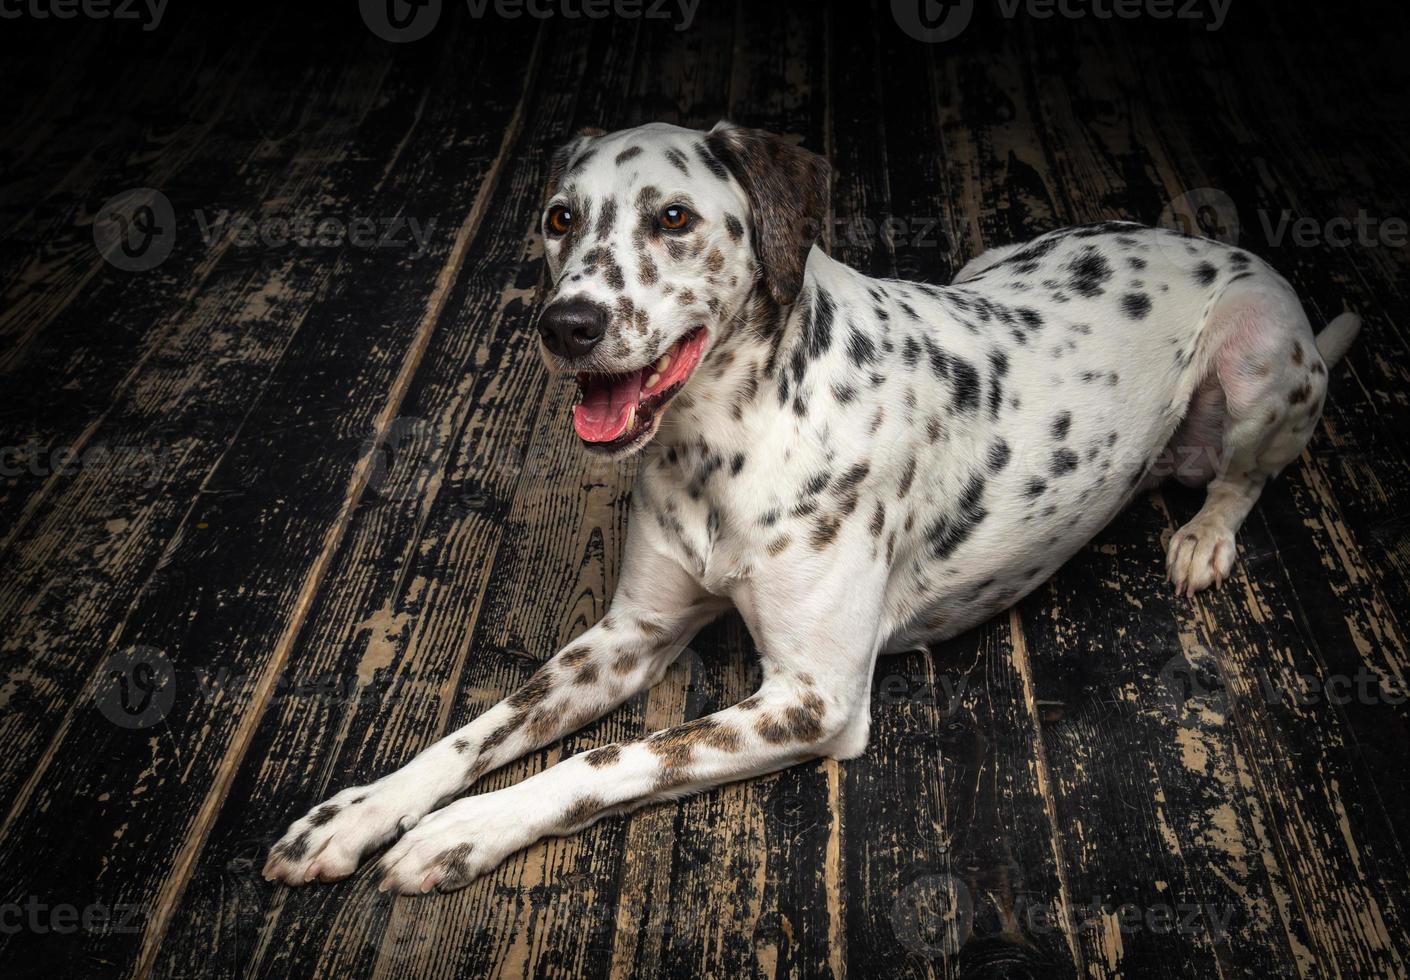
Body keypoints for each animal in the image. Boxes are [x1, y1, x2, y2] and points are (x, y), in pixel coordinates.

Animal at [262, 119, 1353, 891]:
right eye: (560, 217)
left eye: (673, 218)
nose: (564, 323)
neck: (723, 442)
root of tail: (1204, 239)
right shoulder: (628, 633)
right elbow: (481, 727)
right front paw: (362, 811)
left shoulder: (811, 696)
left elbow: (610, 758)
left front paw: (463, 829)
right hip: (988, 266)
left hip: (1261, 355)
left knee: (1246, 472)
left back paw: (1204, 534)